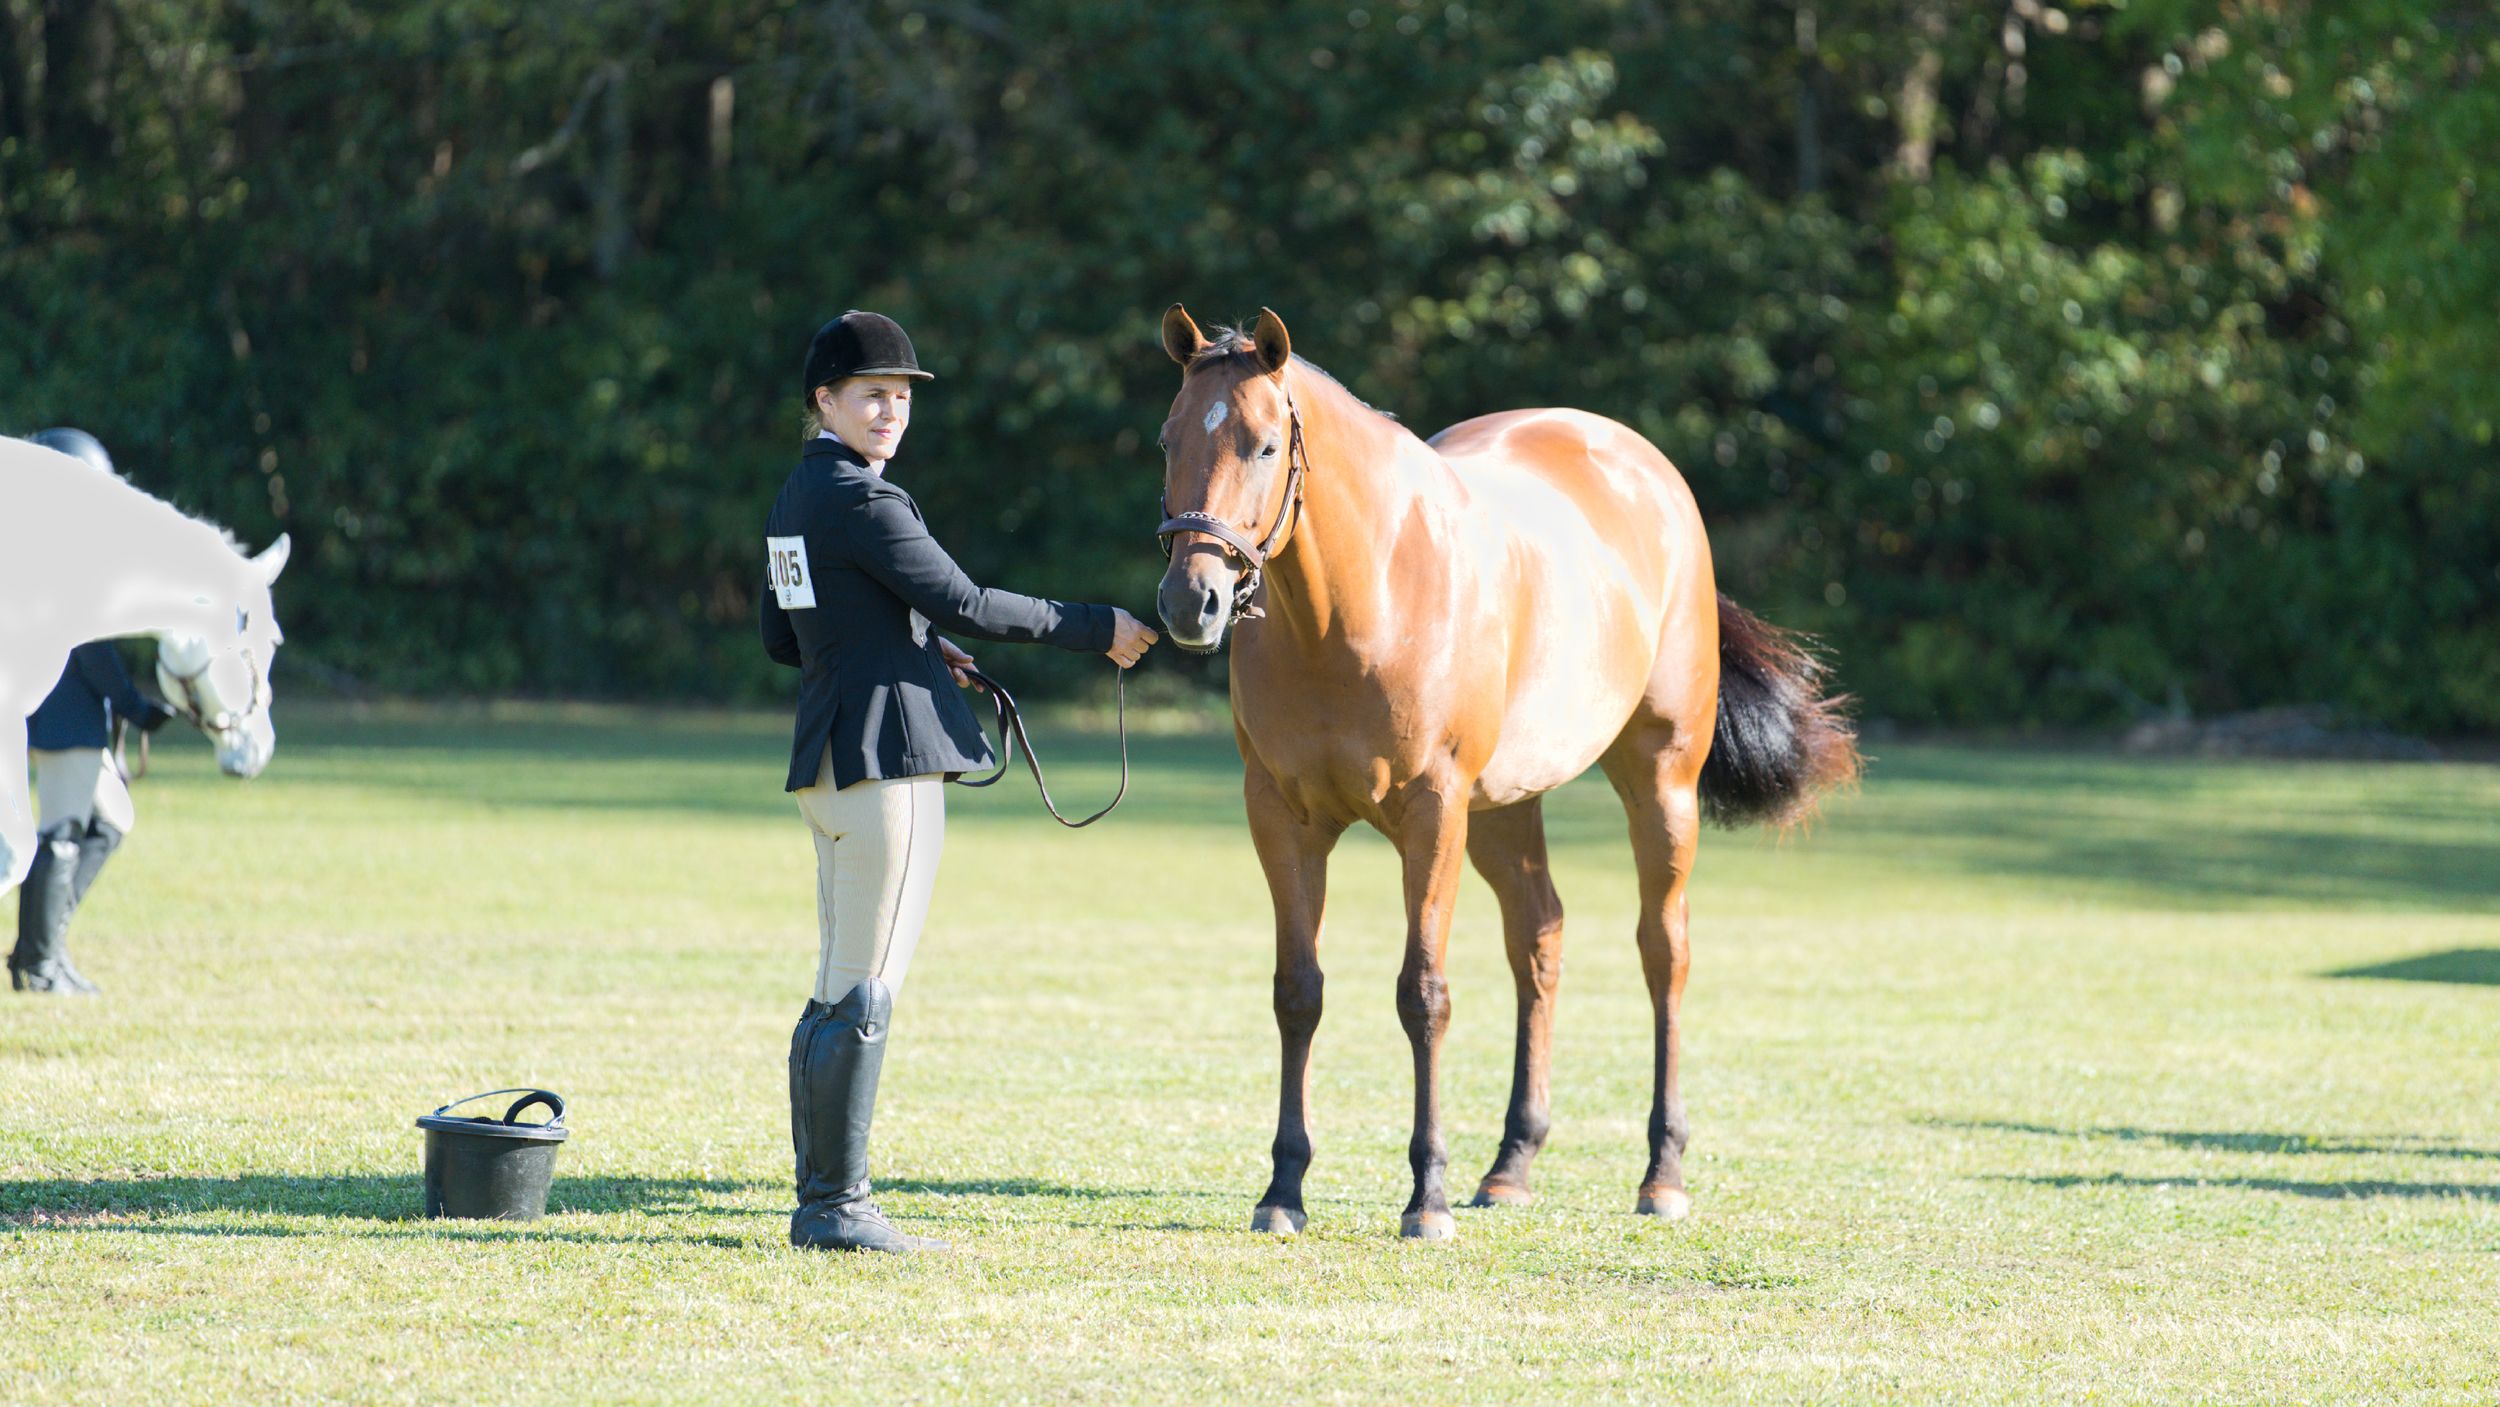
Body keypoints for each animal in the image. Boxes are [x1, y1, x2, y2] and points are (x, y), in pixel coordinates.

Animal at [1151, 306, 1859, 1240]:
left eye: (1265, 445)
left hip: (1657, 783)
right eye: (1167, 440)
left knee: (1663, 950)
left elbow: (1424, 993)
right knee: (1540, 939)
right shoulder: (1282, 818)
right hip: (1503, 810)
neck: (1358, 605)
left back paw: (1661, 1173)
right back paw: (1512, 1162)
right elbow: (1297, 992)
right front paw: (1284, 1189)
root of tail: (1647, 470)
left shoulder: (1432, 814)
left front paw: (1427, 1196)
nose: (1189, 601)